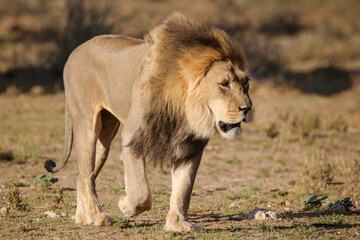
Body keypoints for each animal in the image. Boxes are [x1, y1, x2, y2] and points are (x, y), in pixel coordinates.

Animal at [45, 12, 252, 232]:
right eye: (224, 84)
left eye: (246, 82)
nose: (247, 108)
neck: (185, 109)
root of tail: (74, 52)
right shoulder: (132, 135)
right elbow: (141, 191)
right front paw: (126, 206)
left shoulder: (190, 146)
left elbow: (183, 189)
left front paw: (178, 223)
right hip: (87, 126)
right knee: (86, 176)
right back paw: (97, 217)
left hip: (105, 137)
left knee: (84, 175)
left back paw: (83, 218)